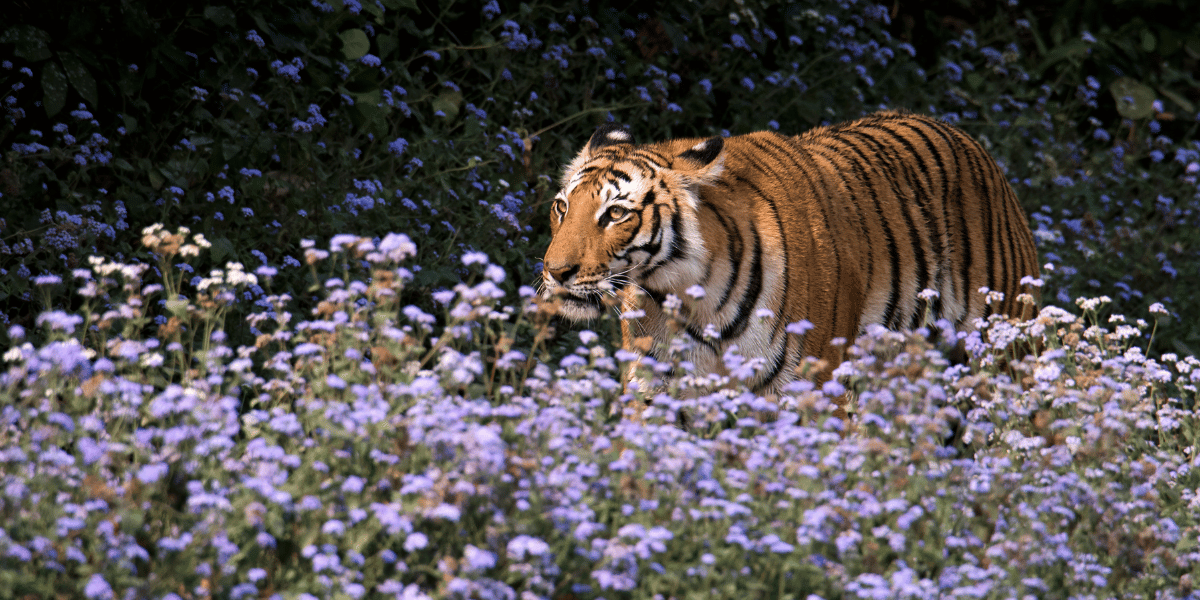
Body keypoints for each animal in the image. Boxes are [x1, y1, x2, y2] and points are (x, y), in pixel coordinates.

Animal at [542, 110, 1041, 405]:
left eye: (616, 213)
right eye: (562, 207)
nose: (555, 272)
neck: (688, 293)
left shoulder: (805, 388)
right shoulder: (656, 385)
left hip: (1006, 352)